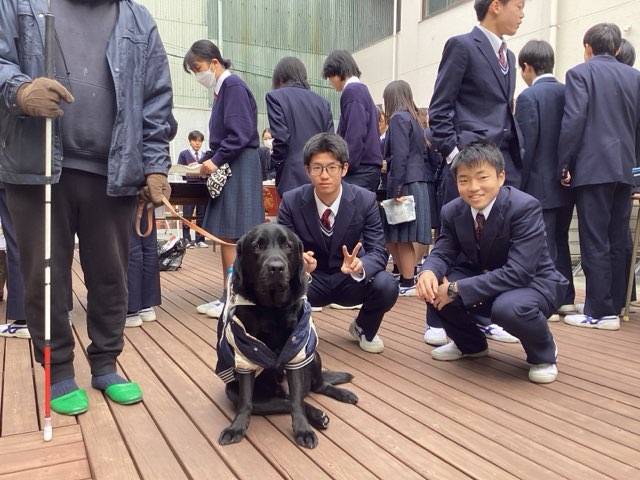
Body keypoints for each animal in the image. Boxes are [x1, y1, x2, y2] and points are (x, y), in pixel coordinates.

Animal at [215, 223, 358, 449]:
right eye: (257, 246)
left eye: (288, 246)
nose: (276, 268)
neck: (271, 308)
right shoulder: (245, 353)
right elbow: (246, 402)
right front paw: (236, 427)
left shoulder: (296, 351)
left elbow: (297, 402)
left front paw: (303, 431)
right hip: (233, 391)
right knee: (284, 401)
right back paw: (317, 415)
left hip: (314, 356)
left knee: (316, 388)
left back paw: (342, 395)